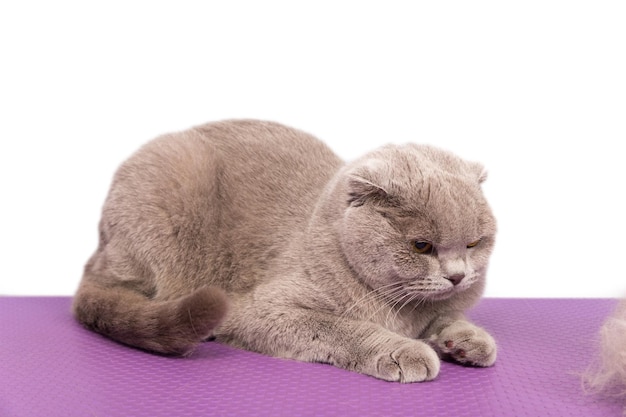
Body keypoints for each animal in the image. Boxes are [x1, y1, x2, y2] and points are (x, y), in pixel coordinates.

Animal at [73, 118, 494, 382]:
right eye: (421, 245)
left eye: (473, 243)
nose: (457, 276)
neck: (403, 312)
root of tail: (98, 253)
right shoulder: (263, 310)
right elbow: (341, 326)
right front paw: (405, 351)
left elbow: (447, 319)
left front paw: (469, 342)